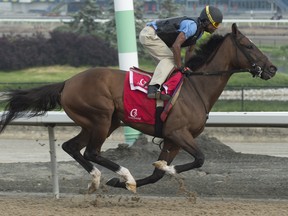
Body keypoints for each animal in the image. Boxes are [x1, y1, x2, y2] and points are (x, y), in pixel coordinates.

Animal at [0, 23, 276, 192]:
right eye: (249, 46)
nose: (272, 68)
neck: (196, 87)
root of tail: (67, 82)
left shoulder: (172, 140)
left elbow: (157, 174)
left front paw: (127, 180)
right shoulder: (177, 133)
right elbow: (198, 159)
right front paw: (154, 170)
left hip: (102, 121)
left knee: (72, 147)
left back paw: (98, 179)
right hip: (101, 118)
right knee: (91, 151)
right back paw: (125, 174)